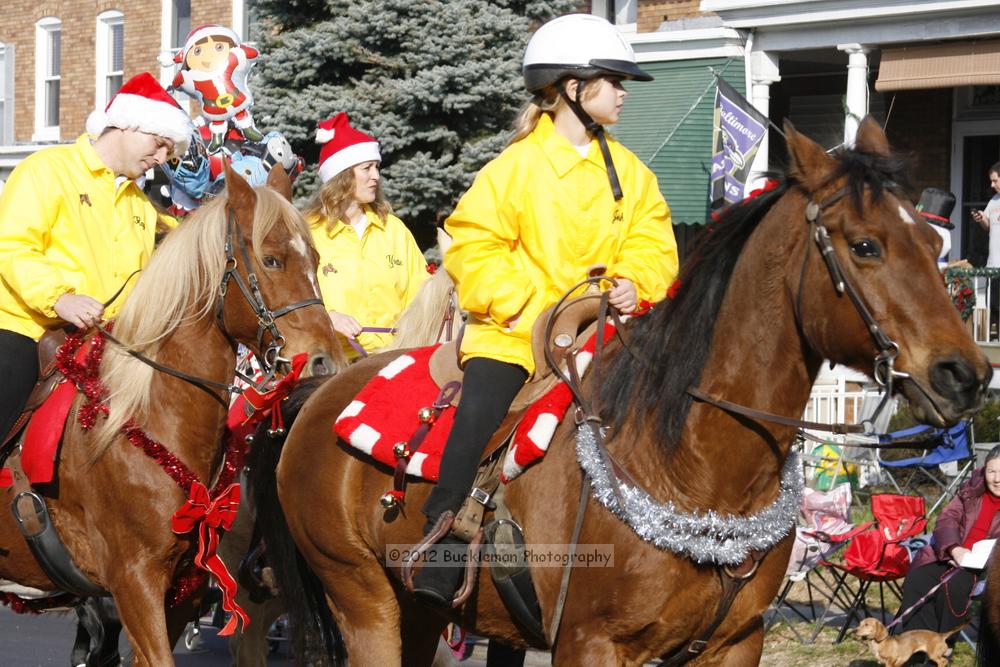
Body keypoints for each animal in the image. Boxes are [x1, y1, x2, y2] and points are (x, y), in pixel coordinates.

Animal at [252, 121, 992, 667]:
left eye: (932, 242)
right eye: (865, 245)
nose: (965, 374)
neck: (691, 464)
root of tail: (319, 391)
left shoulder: (733, 645)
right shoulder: (591, 644)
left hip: (422, 612)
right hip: (364, 599)